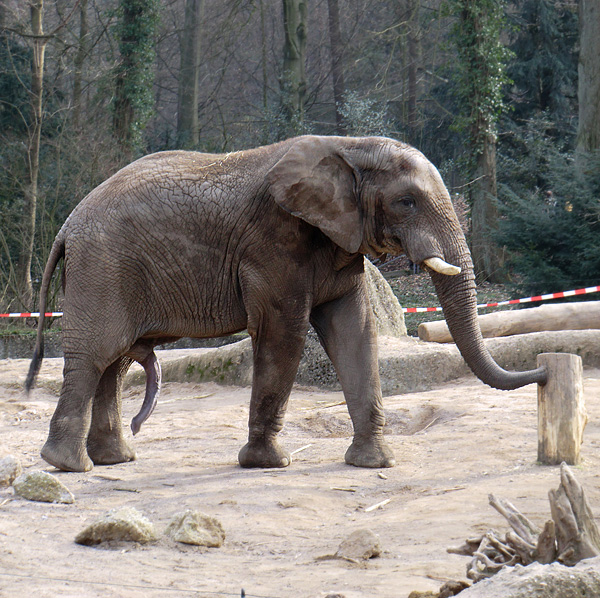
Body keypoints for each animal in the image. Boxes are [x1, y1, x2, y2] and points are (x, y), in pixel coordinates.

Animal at [25, 135, 548, 474]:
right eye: (406, 203)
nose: (544, 370)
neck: (351, 146)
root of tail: (67, 226)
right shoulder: (274, 242)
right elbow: (285, 332)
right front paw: (269, 463)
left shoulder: (337, 241)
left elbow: (354, 331)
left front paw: (374, 463)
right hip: (103, 267)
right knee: (96, 354)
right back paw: (69, 466)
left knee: (112, 361)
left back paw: (112, 460)